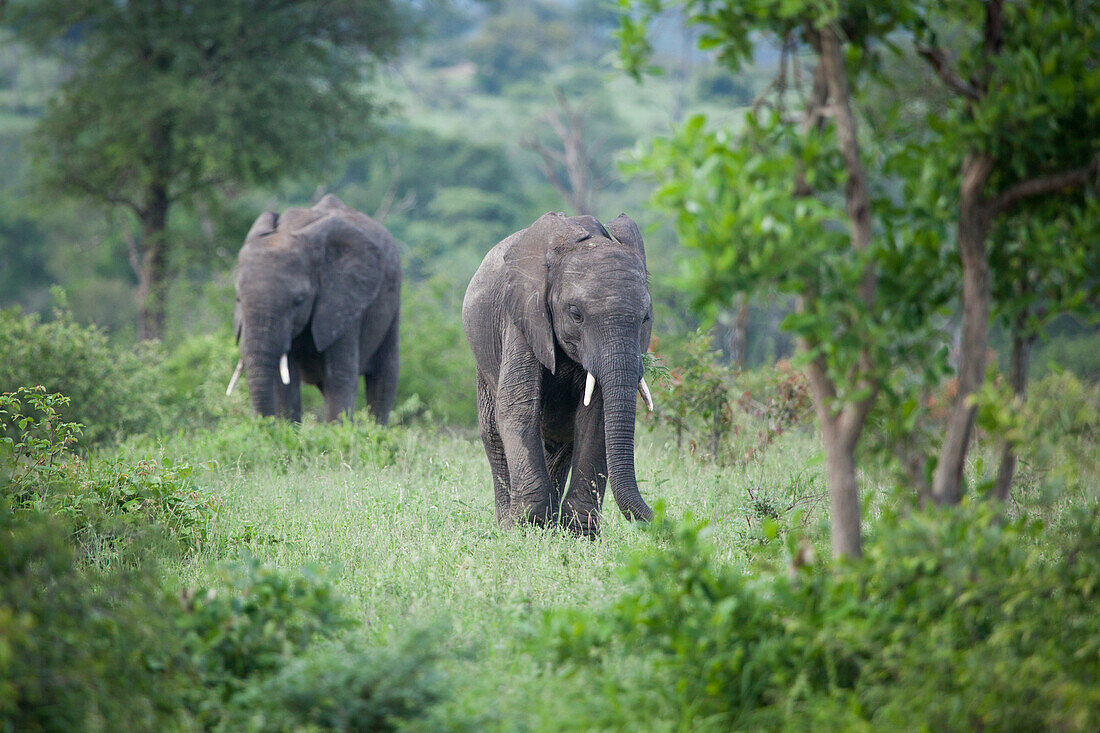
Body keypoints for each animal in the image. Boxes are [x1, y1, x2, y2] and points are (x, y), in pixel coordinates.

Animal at [226, 192, 400, 422]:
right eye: (238, 300)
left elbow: (339, 376)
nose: (264, 424)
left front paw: (338, 430)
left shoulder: (343, 302)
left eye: (299, 300)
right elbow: (286, 381)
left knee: (385, 375)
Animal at [462, 211, 655, 537]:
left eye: (645, 319)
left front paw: (579, 534)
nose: (659, 516)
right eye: (576, 314)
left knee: (560, 442)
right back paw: (509, 524)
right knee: (493, 432)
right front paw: (526, 529)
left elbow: (596, 416)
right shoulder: (522, 318)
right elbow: (517, 407)